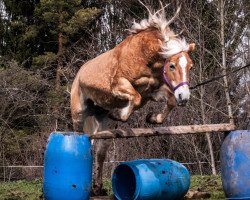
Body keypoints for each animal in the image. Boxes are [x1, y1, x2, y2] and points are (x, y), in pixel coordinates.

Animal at [70, 1, 195, 195]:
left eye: (190, 67)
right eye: (172, 66)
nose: (184, 97)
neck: (145, 56)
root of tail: (79, 73)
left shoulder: (152, 91)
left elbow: (168, 100)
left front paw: (153, 118)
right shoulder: (118, 85)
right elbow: (134, 98)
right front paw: (120, 114)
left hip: (102, 119)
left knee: (100, 151)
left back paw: (98, 188)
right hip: (78, 114)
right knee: (83, 139)